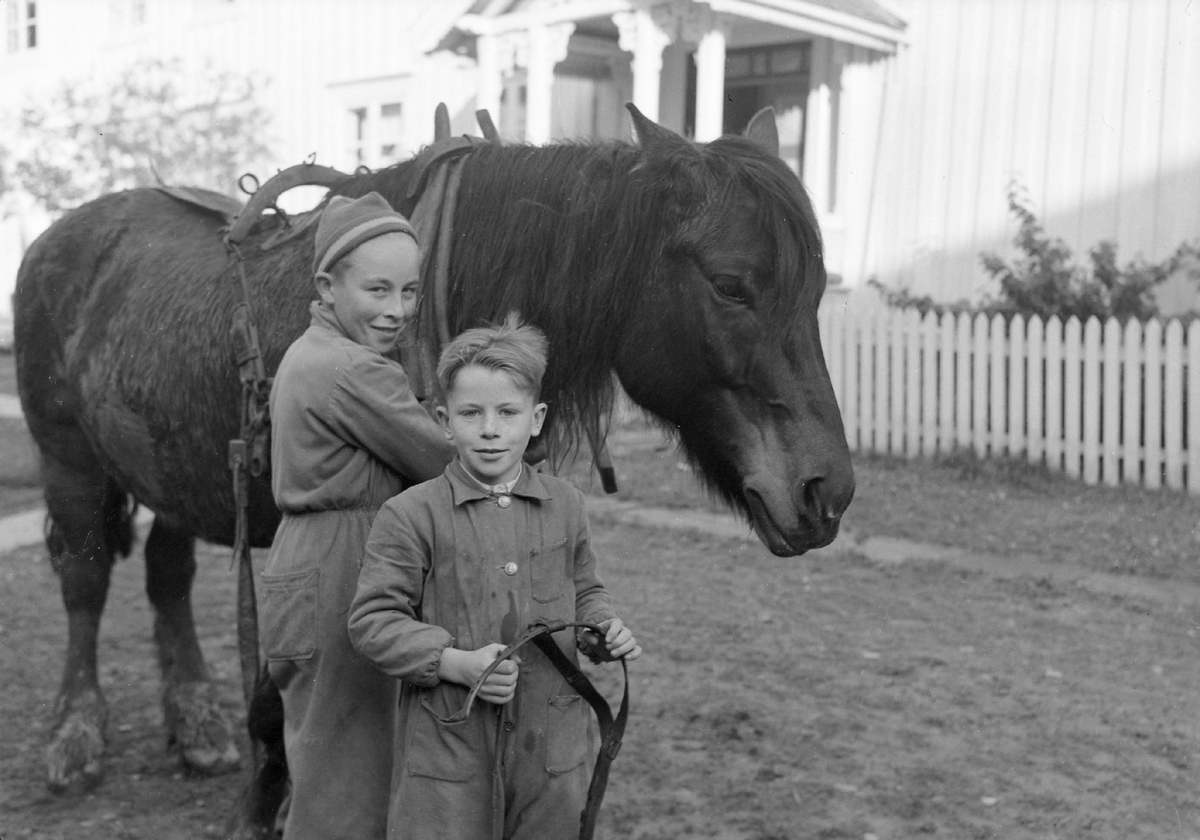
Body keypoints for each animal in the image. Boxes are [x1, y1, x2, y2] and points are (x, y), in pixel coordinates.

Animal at [11, 108, 854, 835]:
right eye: (731, 285)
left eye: (816, 290)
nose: (829, 492)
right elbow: (281, 679)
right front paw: (264, 795)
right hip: (70, 458)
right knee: (85, 579)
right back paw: (75, 735)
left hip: (167, 470)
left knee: (166, 576)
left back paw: (195, 722)